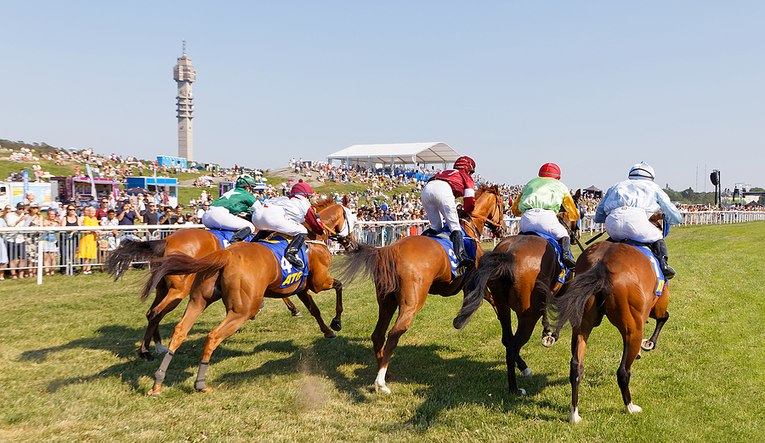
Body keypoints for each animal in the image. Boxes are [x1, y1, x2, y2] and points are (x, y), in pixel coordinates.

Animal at [105, 200, 355, 360]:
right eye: (351, 218)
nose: (351, 243)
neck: (312, 236)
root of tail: (166, 240)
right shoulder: (317, 282)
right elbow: (338, 286)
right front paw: (336, 322)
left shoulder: (297, 285)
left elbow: (313, 309)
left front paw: (325, 328)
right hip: (179, 289)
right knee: (156, 313)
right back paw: (148, 350)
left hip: (164, 288)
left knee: (152, 312)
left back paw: (154, 347)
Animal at [143, 236, 342, 395]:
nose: (347, 240)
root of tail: (226, 254)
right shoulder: (318, 283)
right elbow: (338, 286)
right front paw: (336, 322)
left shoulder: (300, 288)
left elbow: (314, 309)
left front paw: (327, 330)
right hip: (240, 311)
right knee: (211, 336)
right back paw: (199, 383)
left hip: (197, 300)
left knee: (177, 329)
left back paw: (157, 381)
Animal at [338, 185, 506, 394]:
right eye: (503, 205)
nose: (502, 228)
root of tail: (388, 250)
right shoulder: (475, 280)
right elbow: (489, 300)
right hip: (412, 302)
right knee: (394, 334)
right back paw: (381, 382)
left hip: (386, 301)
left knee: (378, 334)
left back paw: (385, 372)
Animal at [452, 212, 579, 395]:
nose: (576, 234)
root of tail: (509, 254)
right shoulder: (564, 289)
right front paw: (551, 335)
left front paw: (547, 331)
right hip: (528, 315)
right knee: (513, 345)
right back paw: (515, 387)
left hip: (502, 307)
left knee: (507, 339)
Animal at [553, 238, 671, 423]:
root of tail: (601, 265)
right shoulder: (658, 304)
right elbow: (663, 317)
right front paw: (648, 343)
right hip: (633, 329)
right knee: (623, 371)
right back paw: (630, 407)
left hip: (582, 326)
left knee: (576, 367)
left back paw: (574, 414)